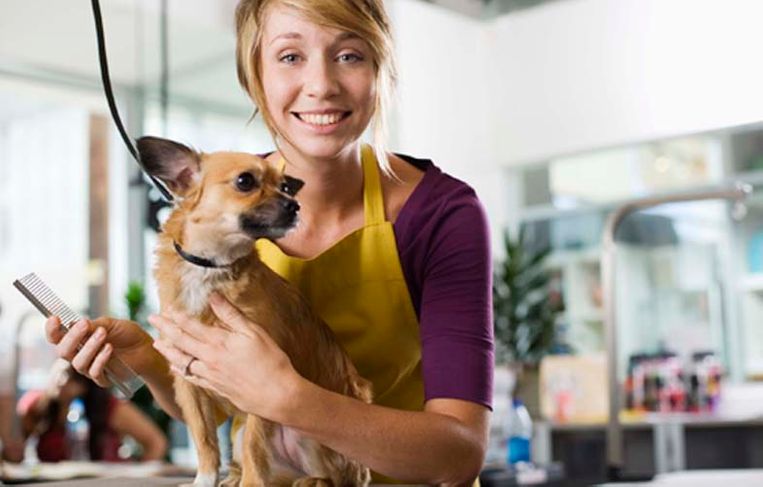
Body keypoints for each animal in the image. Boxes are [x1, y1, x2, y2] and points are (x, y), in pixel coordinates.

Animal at [141, 134, 376, 487]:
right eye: (245, 181)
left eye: (286, 187)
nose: (294, 205)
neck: (211, 268)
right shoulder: (188, 384)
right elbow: (205, 441)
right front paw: (205, 480)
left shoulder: (258, 387)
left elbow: (255, 445)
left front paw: (250, 484)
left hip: (308, 432)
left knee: (331, 477)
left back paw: (307, 481)